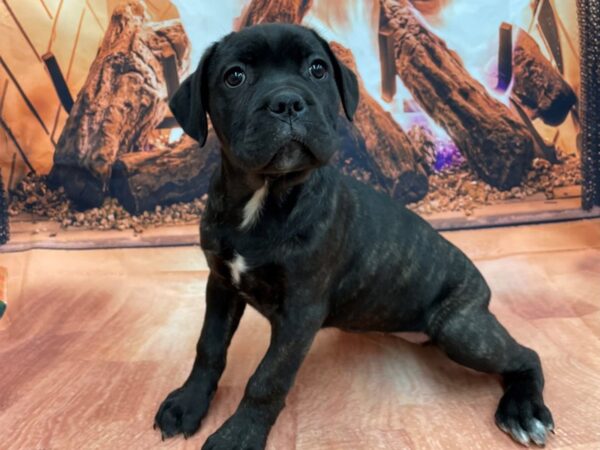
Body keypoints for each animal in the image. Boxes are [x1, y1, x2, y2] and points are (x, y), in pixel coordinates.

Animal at [154, 24, 552, 450]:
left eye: (317, 69)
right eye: (235, 77)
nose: (287, 102)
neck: (265, 197)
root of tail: (482, 287)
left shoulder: (301, 311)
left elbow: (268, 377)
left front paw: (238, 436)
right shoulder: (221, 284)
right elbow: (209, 348)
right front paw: (189, 403)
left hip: (460, 330)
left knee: (528, 355)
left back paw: (524, 411)